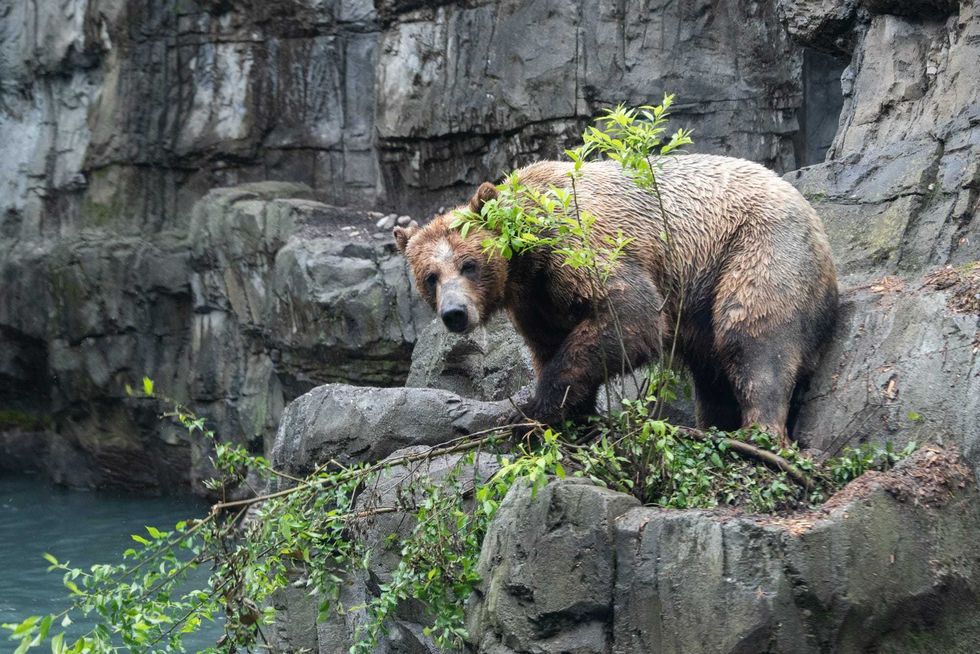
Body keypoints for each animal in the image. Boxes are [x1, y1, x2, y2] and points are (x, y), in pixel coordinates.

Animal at [394, 154, 838, 442]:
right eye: (430, 277)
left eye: (468, 264)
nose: (454, 313)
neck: (527, 256)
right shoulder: (536, 300)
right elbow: (551, 344)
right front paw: (572, 413)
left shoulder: (580, 246)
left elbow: (631, 316)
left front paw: (533, 412)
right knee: (711, 371)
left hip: (757, 249)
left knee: (754, 338)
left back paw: (758, 432)